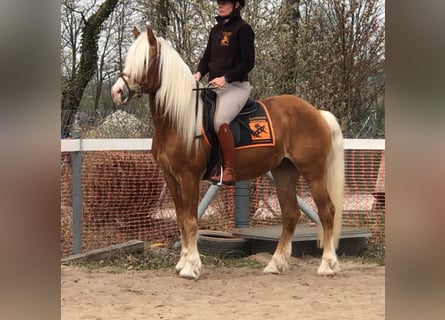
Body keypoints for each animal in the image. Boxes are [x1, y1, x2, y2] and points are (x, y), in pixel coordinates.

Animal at [110, 26, 344, 278]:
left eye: (145, 60)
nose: (117, 91)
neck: (178, 119)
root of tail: (317, 113)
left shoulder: (189, 177)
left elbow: (191, 221)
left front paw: (191, 267)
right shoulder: (171, 177)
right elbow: (181, 220)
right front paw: (183, 262)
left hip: (314, 173)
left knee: (327, 211)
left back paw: (327, 265)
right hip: (284, 172)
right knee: (291, 215)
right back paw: (275, 264)